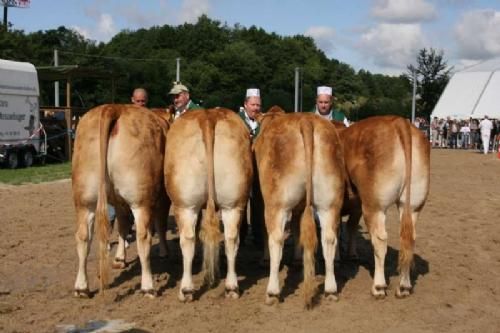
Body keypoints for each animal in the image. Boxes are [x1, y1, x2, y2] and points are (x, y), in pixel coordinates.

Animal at [71, 104, 171, 296]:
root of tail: (113, 108)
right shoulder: (163, 198)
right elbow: (160, 224)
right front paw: (164, 251)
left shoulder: (118, 202)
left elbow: (123, 227)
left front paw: (119, 259)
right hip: (141, 199)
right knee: (143, 236)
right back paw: (148, 286)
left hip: (84, 200)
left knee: (82, 237)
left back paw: (81, 287)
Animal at [340, 115, 430, 296]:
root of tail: (399, 122)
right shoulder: (356, 205)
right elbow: (350, 226)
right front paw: (351, 254)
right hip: (413, 206)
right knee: (409, 240)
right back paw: (404, 286)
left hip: (375, 206)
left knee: (380, 240)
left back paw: (379, 286)